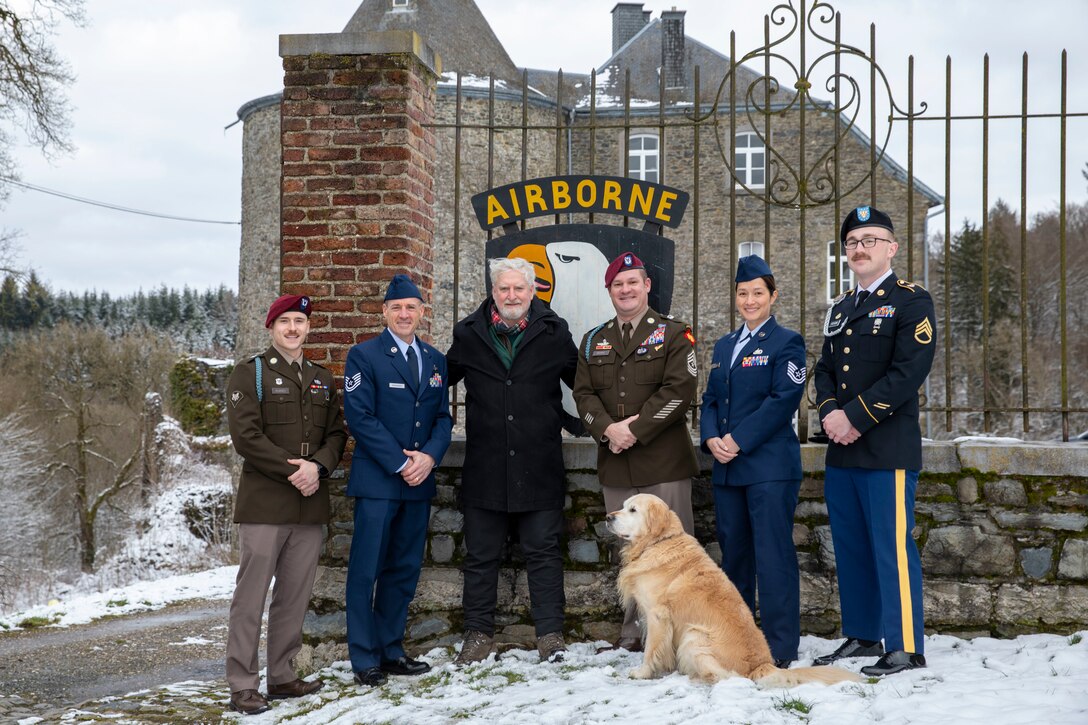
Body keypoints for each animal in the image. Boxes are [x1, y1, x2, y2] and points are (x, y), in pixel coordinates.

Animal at [604, 492, 857, 683]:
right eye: (623, 506)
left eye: (633, 510)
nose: (607, 517)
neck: (658, 543)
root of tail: (762, 666)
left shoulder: (658, 615)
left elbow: (651, 650)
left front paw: (642, 673)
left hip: (694, 635)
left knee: (725, 677)